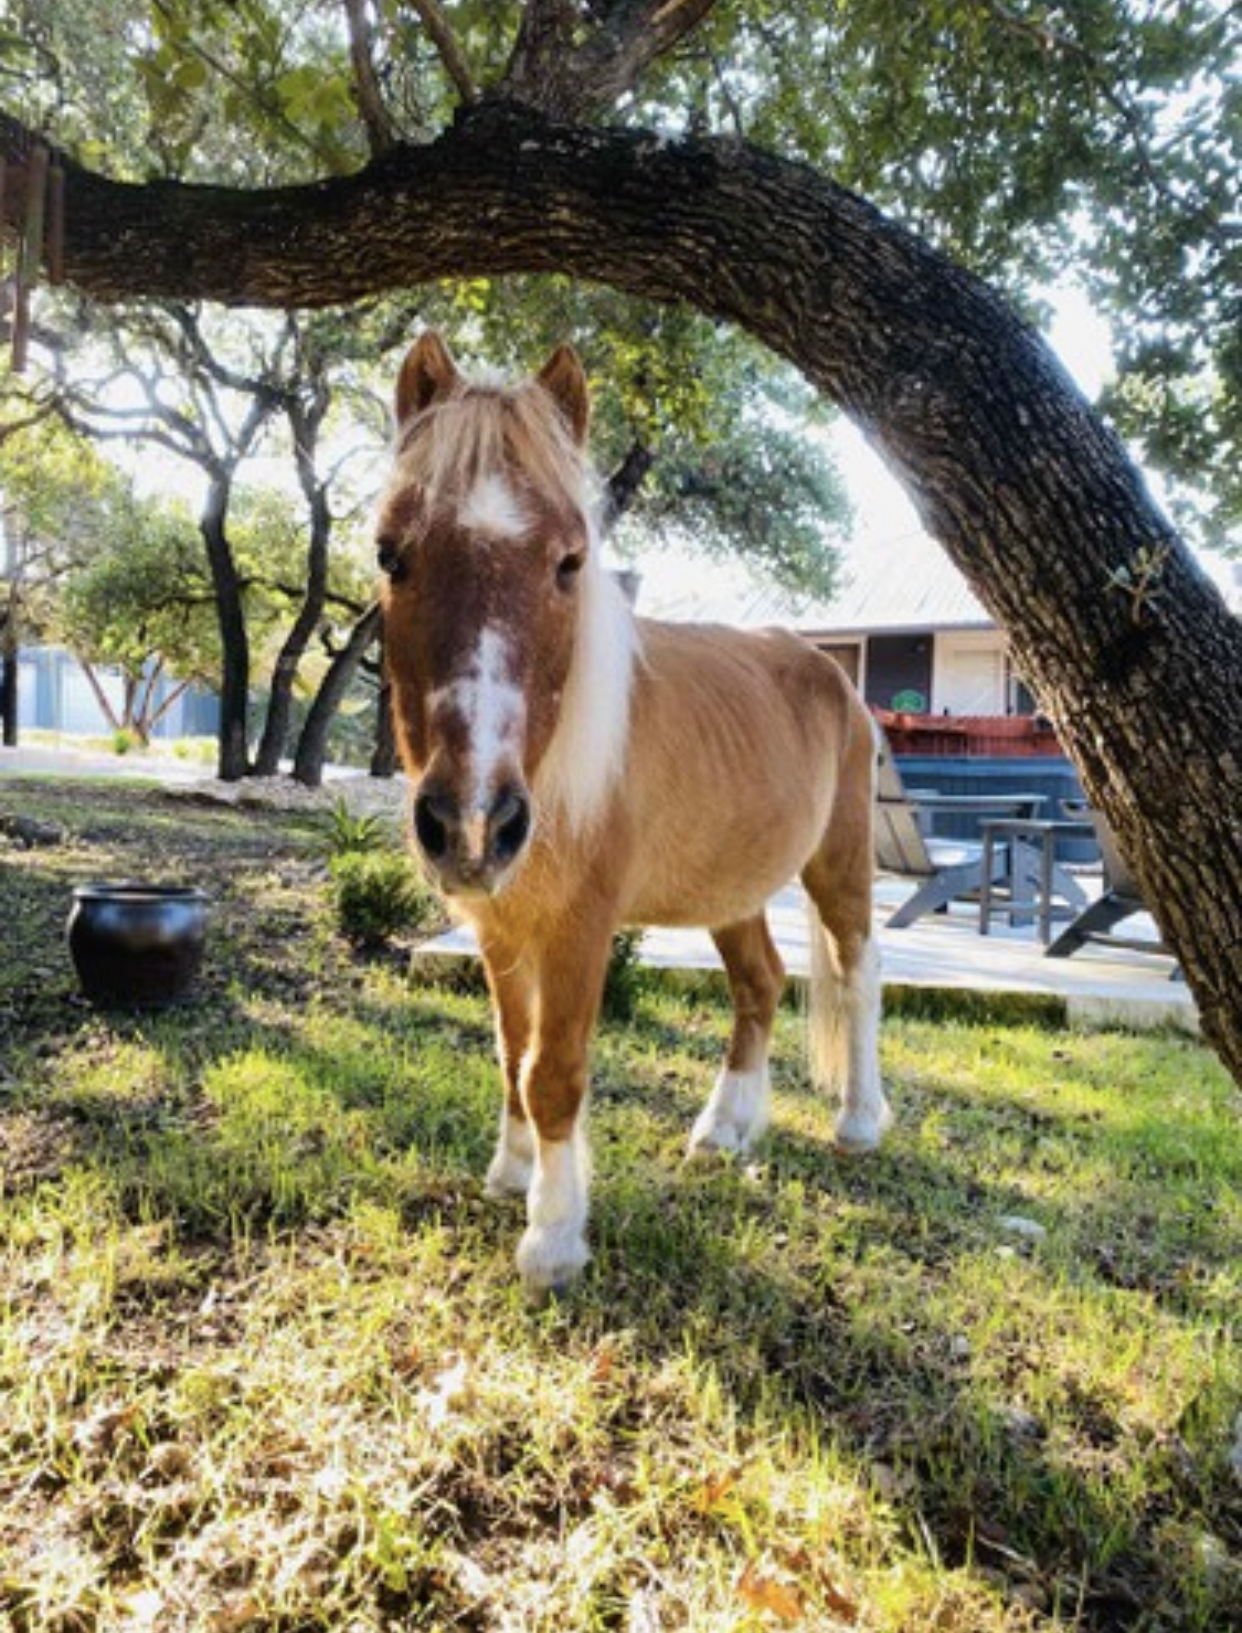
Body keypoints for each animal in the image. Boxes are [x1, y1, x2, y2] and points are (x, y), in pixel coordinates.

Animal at [376, 331, 890, 1295]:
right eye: (392, 553)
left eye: (570, 561)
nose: (473, 822)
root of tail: (828, 670)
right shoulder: (501, 925)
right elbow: (511, 1049)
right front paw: (512, 1173)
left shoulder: (580, 926)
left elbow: (553, 1069)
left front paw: (553, 1234)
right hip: (732, 891)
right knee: (761, 984)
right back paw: (723, 1130)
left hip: (839, 868)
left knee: (857, 974)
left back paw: (860, 1121)